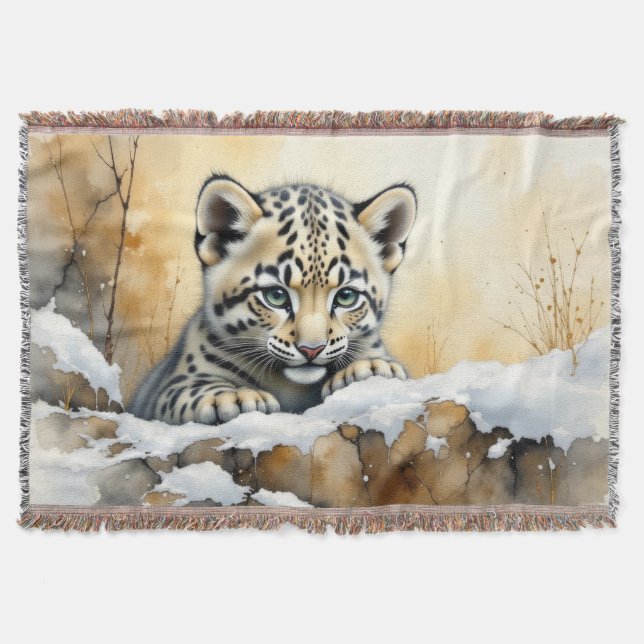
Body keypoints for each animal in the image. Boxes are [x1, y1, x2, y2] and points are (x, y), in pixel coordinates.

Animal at [130, 175, 417, 424]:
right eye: (275, 296)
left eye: (346, 297)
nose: (311, 350)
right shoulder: (168, 387)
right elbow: (189, 389)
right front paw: (233, 397)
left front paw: (373, 367)